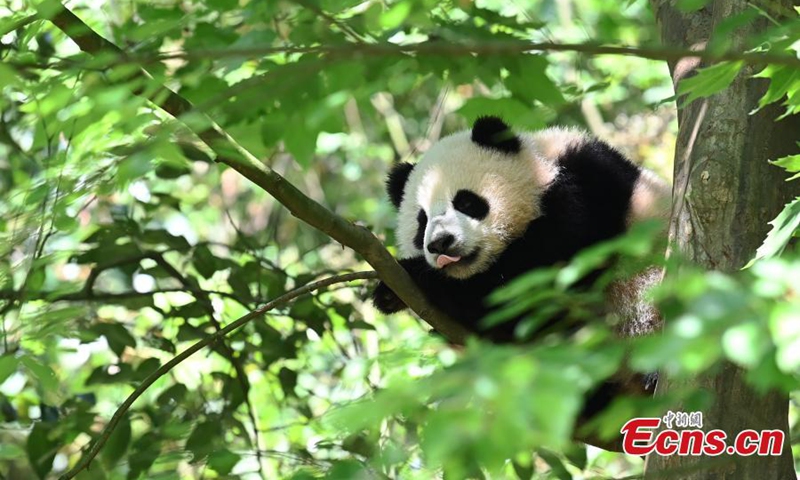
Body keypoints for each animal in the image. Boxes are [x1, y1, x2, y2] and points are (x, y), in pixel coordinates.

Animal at [371, 116, 670, 425]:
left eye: (466, 202)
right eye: (422, 221)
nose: (441, 243)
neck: (541, 168)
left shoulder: (589, 201)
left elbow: (531, 290)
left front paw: (412, 275)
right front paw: (392, 296)